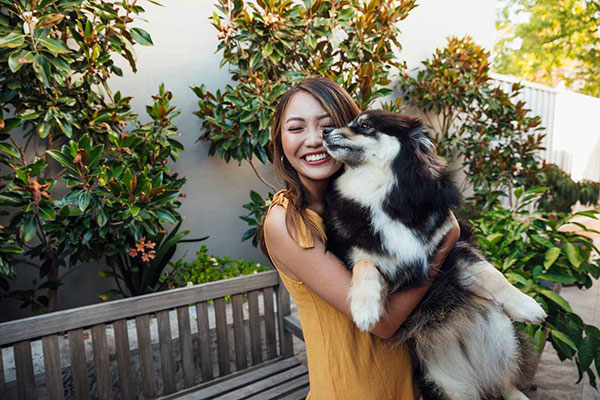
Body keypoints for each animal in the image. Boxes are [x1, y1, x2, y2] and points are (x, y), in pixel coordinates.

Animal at [324, 110, 548, 400]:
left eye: (364, 125)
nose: (325, 131)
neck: (381, 196)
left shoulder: (451, 246)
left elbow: (489, 271)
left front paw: (526, 305)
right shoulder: (376, 265)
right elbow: (365, 263)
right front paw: (365, 307)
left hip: (502, 333)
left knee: (504, 381)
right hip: (446, 382)